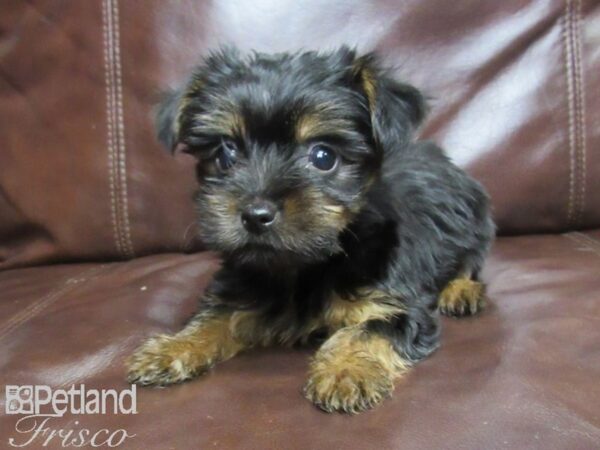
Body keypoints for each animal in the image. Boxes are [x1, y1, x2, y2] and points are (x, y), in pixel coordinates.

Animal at [126, 47, 492, 414]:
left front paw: (346, 371)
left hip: (476, 220)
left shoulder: (396, 304)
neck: (308, 263)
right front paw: (172, 347)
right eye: (226, 153)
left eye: (323, 156)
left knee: (469, 261)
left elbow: (367, 330)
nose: (255, 214)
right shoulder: (242, 287)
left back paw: (461, 291)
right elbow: (213, 316)